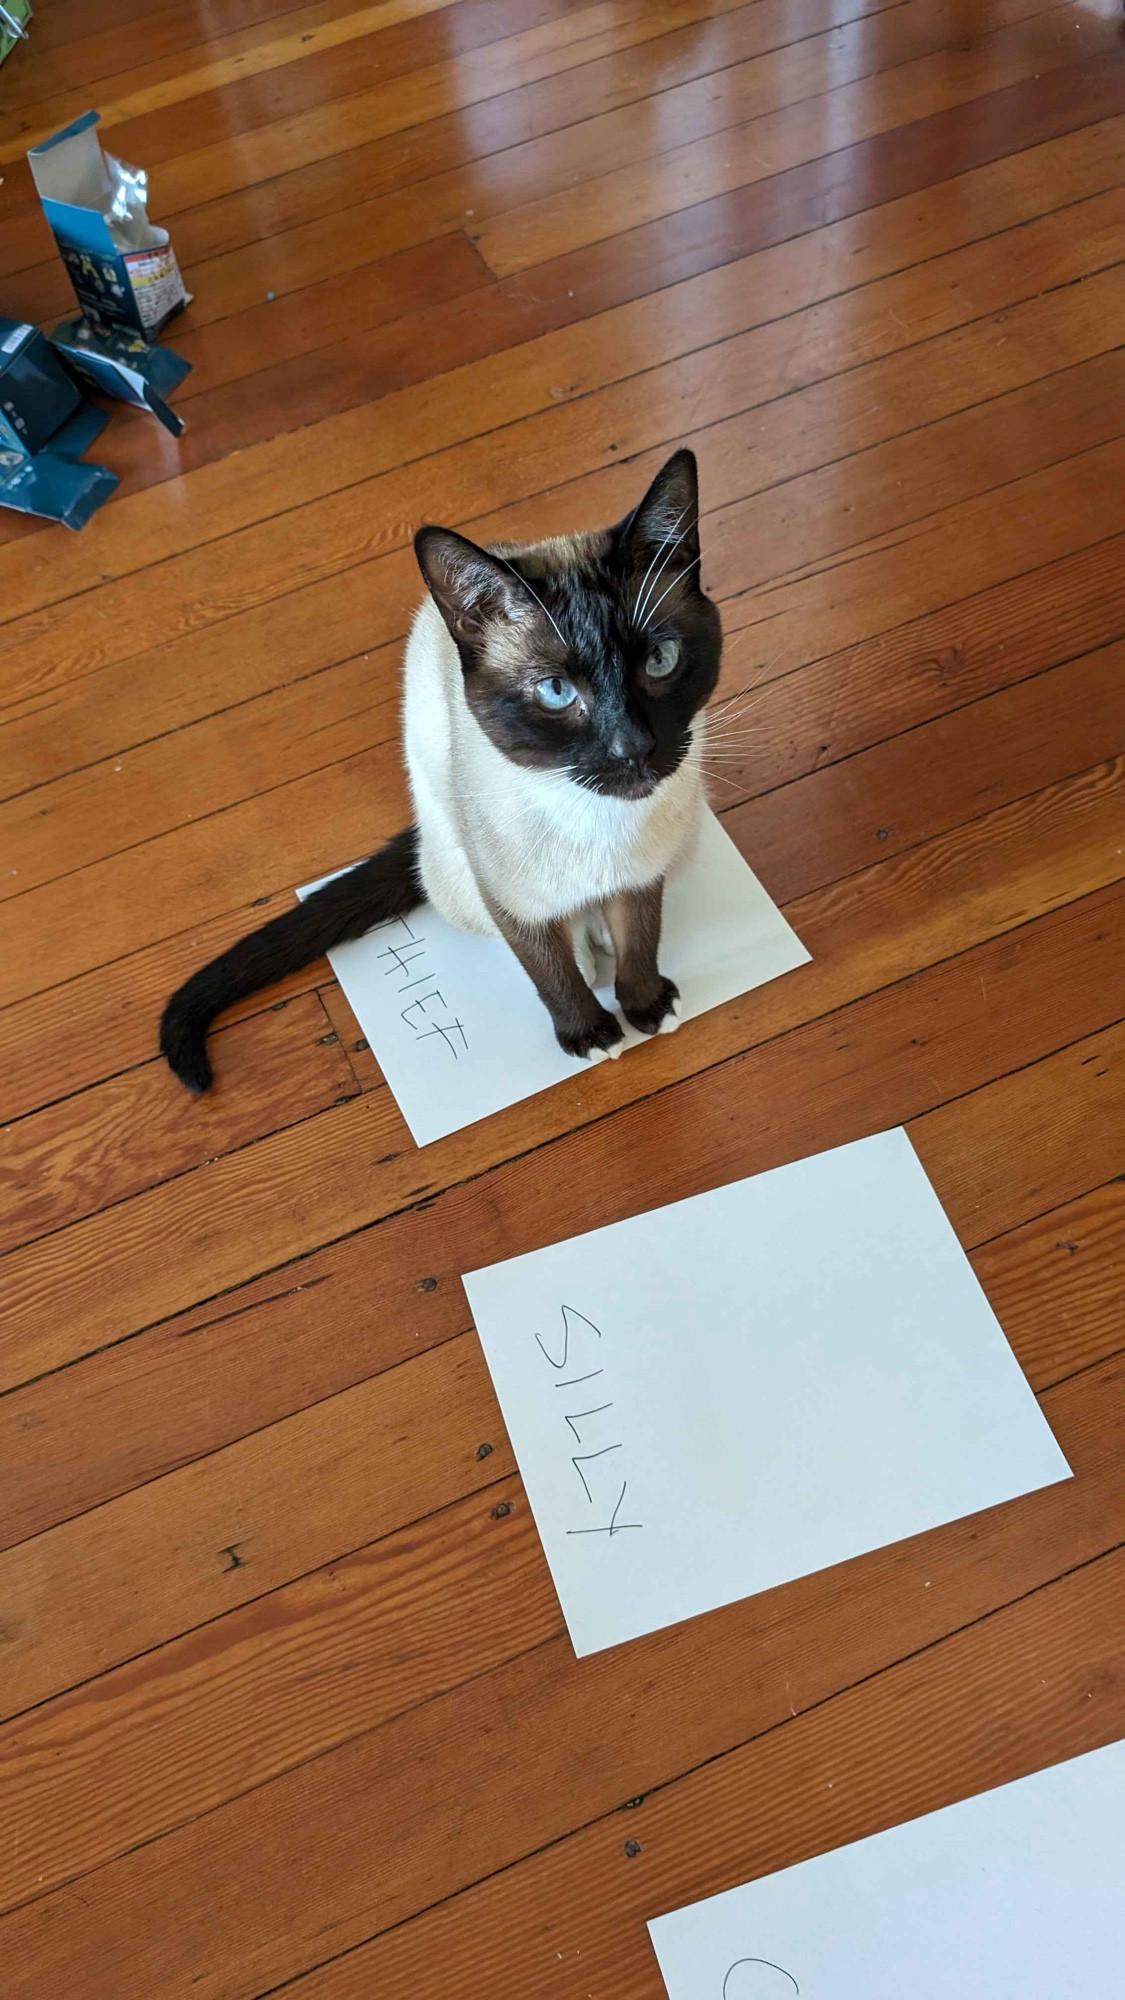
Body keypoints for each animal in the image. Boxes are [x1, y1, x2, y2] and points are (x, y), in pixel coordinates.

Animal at [158, 446, 716, 1088]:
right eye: (555, 692)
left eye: (660, 661)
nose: (633, 749)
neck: (599, 823)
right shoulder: (505, 894)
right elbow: (548, 969)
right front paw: (589, 1034)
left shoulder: (646, 870)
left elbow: (640, 937)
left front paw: (647, 1005)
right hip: (453, 857)